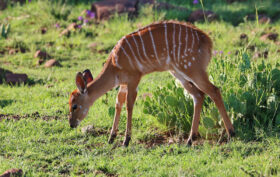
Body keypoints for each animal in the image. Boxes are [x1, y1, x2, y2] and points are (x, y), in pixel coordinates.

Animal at [69, 20, 235, 147]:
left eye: (74, 105)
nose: (71, 124)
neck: (115, 63)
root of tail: (208, 41)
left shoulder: (134, 78)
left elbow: (129, 105)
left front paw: (126, 140)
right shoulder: (123, 83)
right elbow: (118, 103)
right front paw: (111, 138)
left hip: (192, 69)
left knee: (214, 90)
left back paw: (231, 134)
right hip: (178, 73)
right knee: (198, 95)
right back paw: (189, 140)